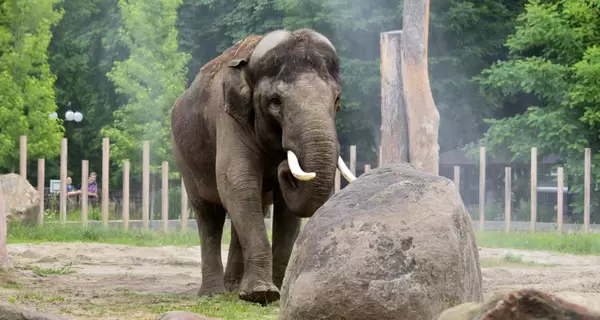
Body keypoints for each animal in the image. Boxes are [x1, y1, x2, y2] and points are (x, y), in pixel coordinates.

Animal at [169, 28, 356, 304]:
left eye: (337, 100)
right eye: (275, 101)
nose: (282, 168)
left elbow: (283, 208)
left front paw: (277, 292)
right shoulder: (228, 119)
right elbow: (237, 182)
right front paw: (261, 294)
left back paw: (233, 288)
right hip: (185, 159)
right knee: (209, 214)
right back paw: (214, 294)